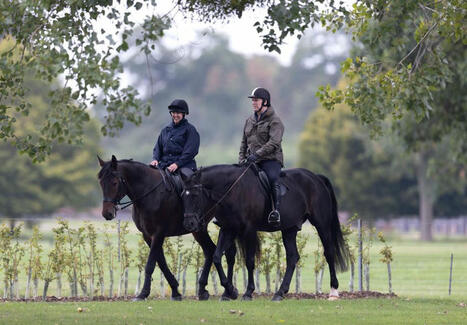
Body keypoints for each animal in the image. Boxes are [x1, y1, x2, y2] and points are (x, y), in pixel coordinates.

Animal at [97, 156, 239, 300]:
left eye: (114, 183)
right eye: (101, 183)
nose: (107, 213)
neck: (149, 192)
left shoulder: (158, 233)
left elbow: (150, 264)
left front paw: (143, 293)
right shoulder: (147, 235)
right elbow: (161, 262)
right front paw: (175, 291)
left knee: (218, 252)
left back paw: (228, 290)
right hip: (199, 229)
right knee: (211, 251)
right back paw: (205, 290)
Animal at [183, 165, 352, 302]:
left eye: (195, 195)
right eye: (183, 195)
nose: (189, 224)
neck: (233, 189)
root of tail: (316, 178)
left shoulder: (249, 230)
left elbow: (249, 261)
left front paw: (248, 292)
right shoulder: (228, 228)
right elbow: (217, 257)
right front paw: (230, 291)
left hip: (321, 224)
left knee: (329, 253)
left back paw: (333, 291)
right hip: (289, 229)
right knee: (292, 257)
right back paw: (280, 293)